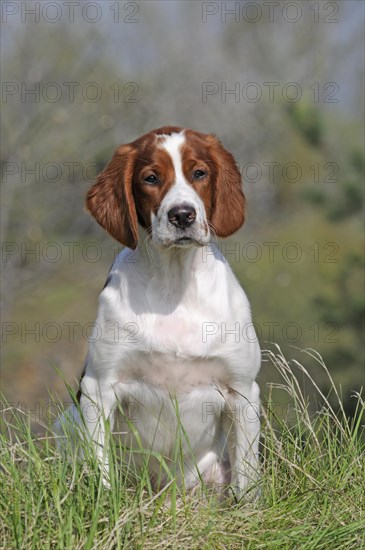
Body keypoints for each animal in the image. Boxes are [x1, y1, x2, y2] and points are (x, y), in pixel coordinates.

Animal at [54, 126, 260, 500]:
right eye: (150, 178)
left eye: (199, 173)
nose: (182, 215)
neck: (174, 286)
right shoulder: (99, 386)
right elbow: (100, 467)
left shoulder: (242, 391)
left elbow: (249, 476)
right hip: (65, 421)